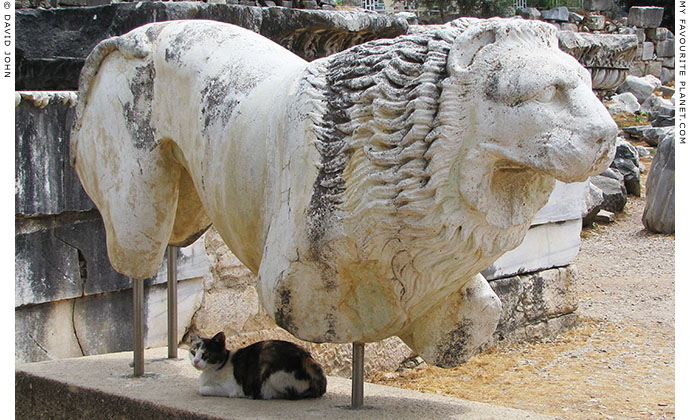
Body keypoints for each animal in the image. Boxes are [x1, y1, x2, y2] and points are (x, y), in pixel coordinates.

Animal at [187, 332, 326, 400]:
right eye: (193, 352)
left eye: (206, 354)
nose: (196, 361)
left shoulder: (229, 388)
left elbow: (202, 389)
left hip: (271, 372)